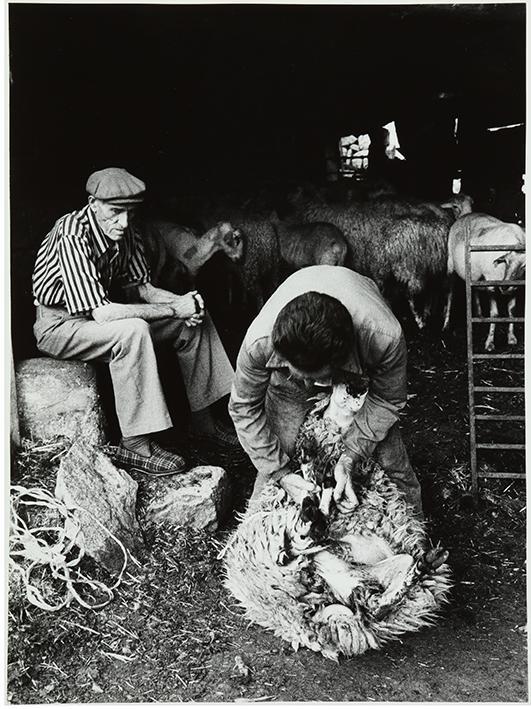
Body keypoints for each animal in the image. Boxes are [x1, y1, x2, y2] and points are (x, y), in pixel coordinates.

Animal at [442, 213, 524, 352]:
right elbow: (495, 314)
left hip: (474, 275)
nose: (504, 287)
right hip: (450, 265)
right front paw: (489, 343)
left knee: (474, 290)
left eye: (524, 266)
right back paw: (446, 324)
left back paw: (479, 315)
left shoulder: (514, 288)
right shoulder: (491, 284)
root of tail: (466, 215)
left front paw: (511, 337)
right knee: (449, 294)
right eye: (506, 261)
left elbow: (512, 311)